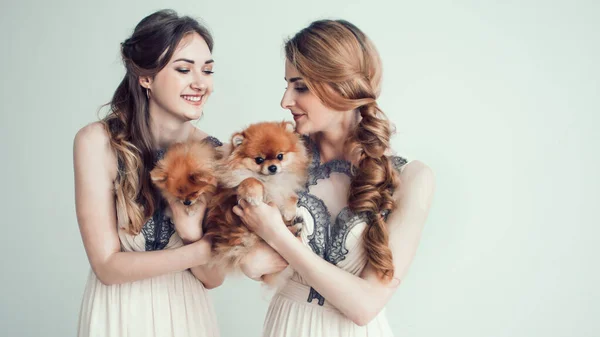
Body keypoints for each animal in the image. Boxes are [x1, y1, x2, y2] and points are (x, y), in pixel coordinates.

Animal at [204, 121, 310, 284]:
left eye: (280, 156)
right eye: (259, 160)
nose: (272, 167)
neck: (269, 181)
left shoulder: (284, 188)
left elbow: (292, 196)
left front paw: (289, 211)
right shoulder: (232, 196)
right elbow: (249, 180)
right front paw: (254, 195)